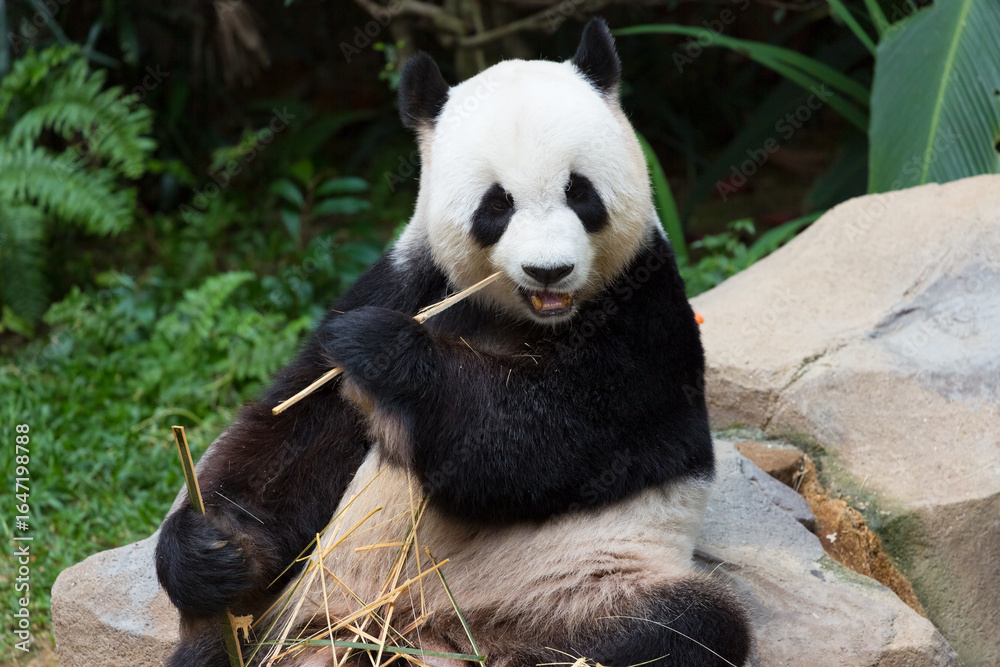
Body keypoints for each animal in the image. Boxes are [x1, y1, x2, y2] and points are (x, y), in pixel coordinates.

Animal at [155, 17, 751, 667]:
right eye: (497, 204)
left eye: (580, 192)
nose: (550, 271)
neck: (525, 318)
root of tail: (420, 632)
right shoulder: (409, 278)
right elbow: (298, 429)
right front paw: (213, 550)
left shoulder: (645, 311)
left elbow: (543, 438)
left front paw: (385, 352)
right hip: (301, 614)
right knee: (222, 645)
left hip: (579, 582)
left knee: (684, 626)